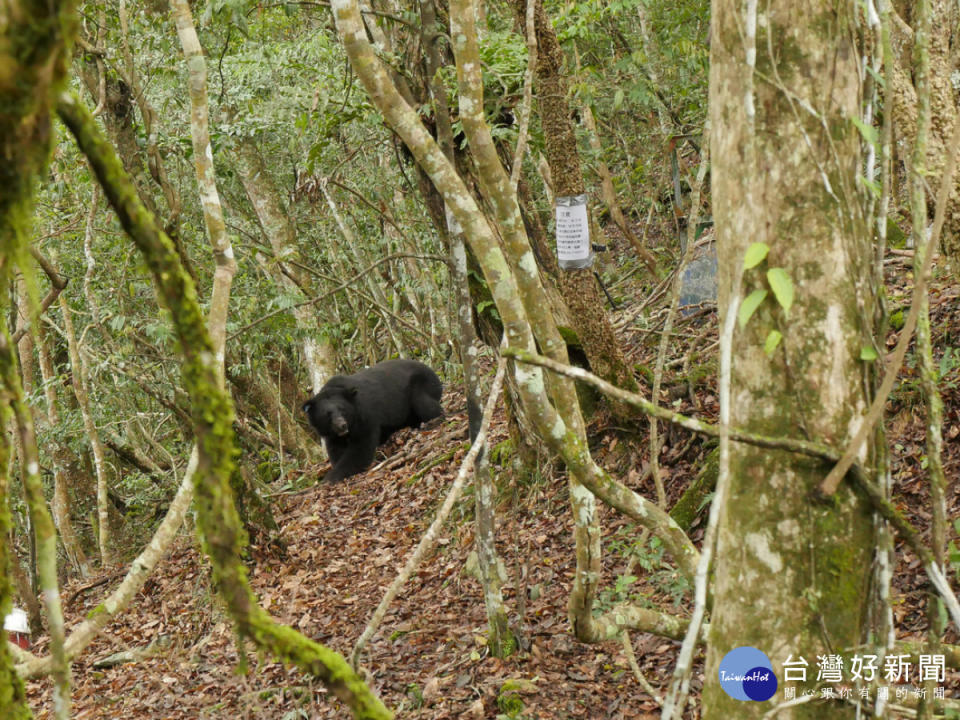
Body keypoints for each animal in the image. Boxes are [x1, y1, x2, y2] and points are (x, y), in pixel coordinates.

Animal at [300, 360, 442, 484]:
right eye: (327, 415)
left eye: (342, 410)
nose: (342, 425)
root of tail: (433, 372)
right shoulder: (332, 434)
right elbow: (336, 451)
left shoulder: (365, 417)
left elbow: (360, 449)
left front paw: (330, 478)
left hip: (420, 385)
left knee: (425, 404)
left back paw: (434, 422)